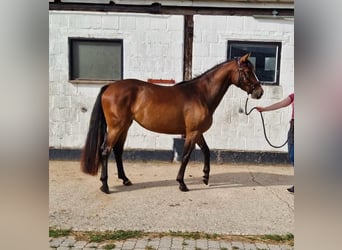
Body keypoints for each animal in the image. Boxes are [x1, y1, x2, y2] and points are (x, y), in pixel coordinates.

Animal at [81, 52, 264, 193]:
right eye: (247, 71)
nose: (259, 92)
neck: (201, 94)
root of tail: (109, 87)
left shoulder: (197, 132)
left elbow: (206, 151)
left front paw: (205, 177)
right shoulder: (192, 132)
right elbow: (186, 155)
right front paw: (182, 184)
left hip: (125, 126)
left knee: (118, 150)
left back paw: (125, 180)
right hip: (116, 127)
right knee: (105, 151)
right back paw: (105, 186)